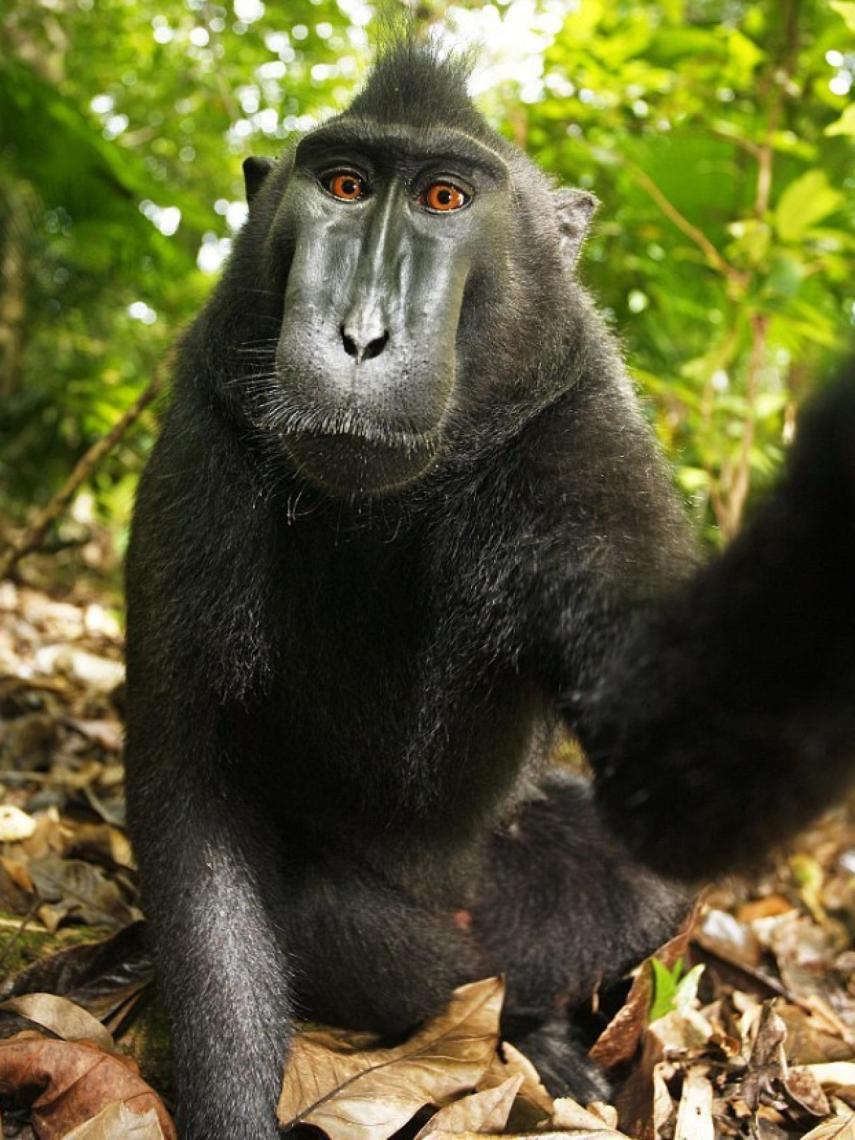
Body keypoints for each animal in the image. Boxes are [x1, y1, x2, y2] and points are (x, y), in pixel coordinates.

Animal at [124, 39, 855, 1139]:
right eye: (345, 186)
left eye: (443, 197)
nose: (361, 336)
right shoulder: (205, 437)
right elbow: (193, 805)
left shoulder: (583, 433)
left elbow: (678, 776)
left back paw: (545, 1036)